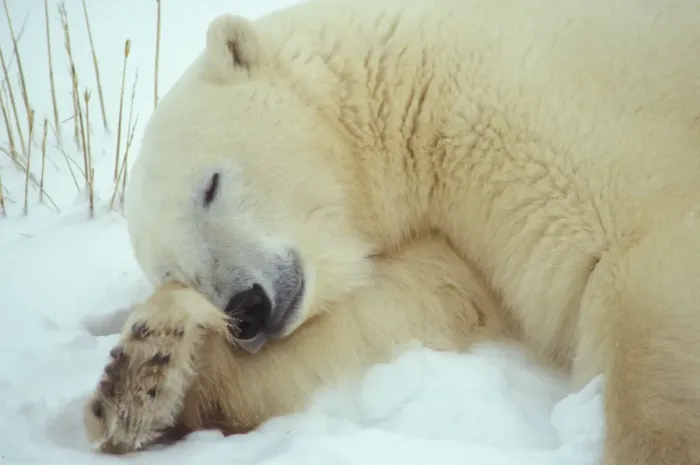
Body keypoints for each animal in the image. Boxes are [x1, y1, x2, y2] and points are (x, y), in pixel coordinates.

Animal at [83, 0, 700, 463]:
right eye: (175, 272)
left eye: (209, 186)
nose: (247, 308)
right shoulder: (450, 232)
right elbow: (423, 300)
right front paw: (143, 373)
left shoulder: (540, 107)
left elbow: (635, 261)